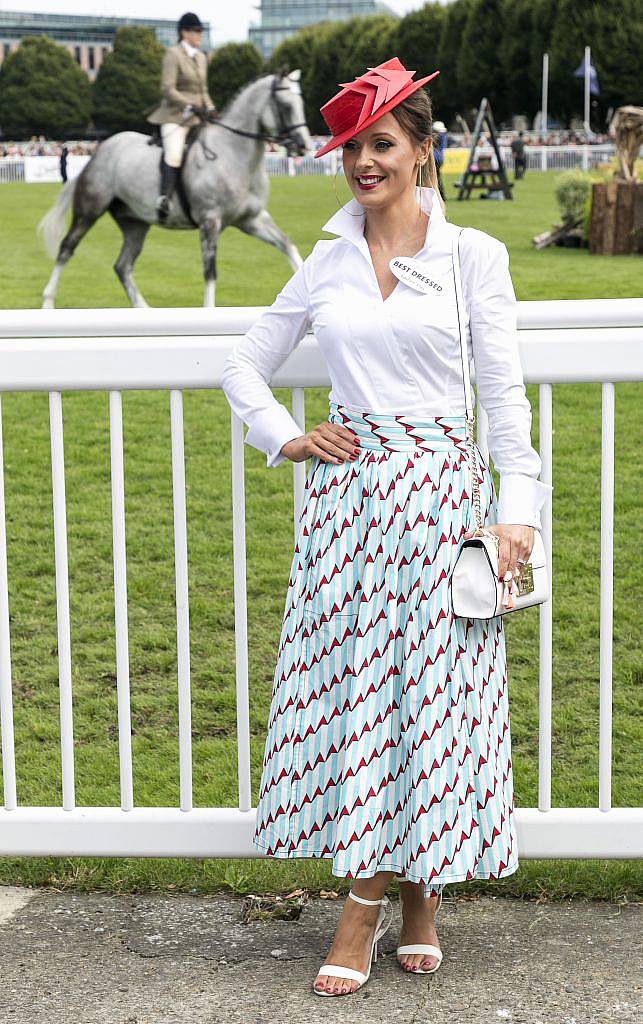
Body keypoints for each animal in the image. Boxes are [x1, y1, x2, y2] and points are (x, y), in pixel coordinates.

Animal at [36, 69, 313, 307]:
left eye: (302, 102)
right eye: (286, 106)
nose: (303, 146)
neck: (234, 155)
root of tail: (98, 151)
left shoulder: (252, 220)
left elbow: (288, 245)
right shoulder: (210, 222)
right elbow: (210, 273)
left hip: (135, 224)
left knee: (123, 266)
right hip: (89, 211)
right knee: (66, 249)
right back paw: (48, 301)